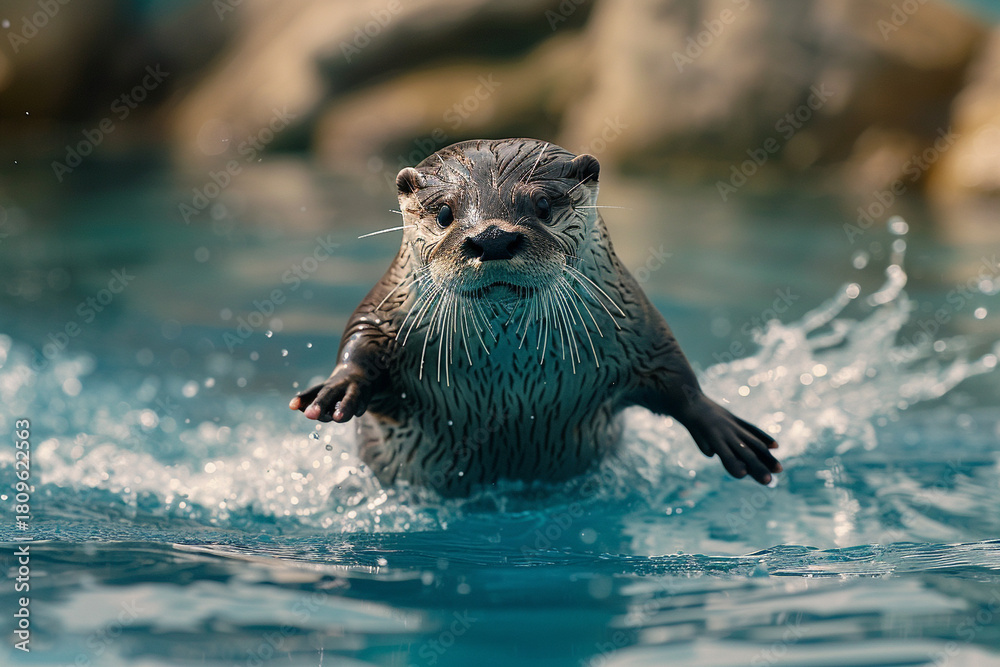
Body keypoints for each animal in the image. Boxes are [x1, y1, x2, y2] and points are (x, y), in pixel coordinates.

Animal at [290, 138, 781, 496]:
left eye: (543, 206)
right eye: (444, 212)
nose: (491, 237)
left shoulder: (630, 316)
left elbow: (673, 373)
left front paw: (726, 430)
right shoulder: (390, 305)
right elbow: (364, 338)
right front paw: (339, 387)